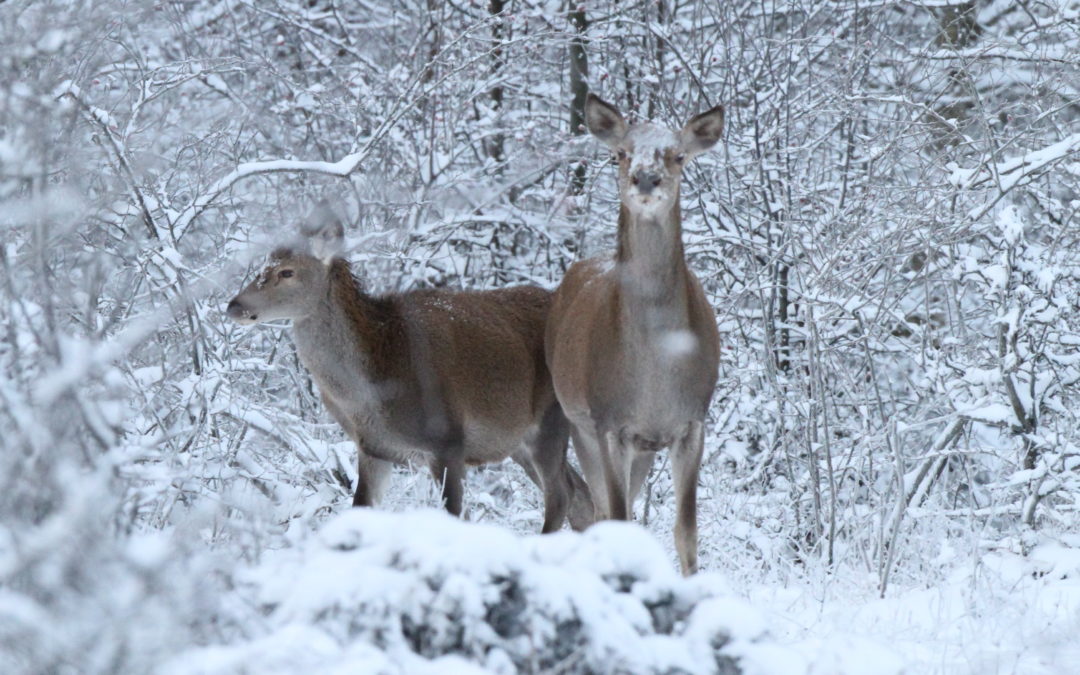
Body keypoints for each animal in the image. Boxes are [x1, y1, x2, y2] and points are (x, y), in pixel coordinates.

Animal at [225, 208, 591, 533]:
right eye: (263, 264)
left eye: (287, 272)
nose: (234, 306)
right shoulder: (374, 449)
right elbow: (359, 508)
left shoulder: (449, 440)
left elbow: (454, 516)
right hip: (519, 441)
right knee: (580, 494)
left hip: (551, 418)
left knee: (562, 494)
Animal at [548, 92, 725, 570]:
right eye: (620, 154)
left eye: (679, 155)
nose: (646, 178)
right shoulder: (609, 421)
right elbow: (619, 518)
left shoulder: (692, 421)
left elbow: (686, 531)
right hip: (577, 422)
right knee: (600, 510)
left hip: (642, 446)